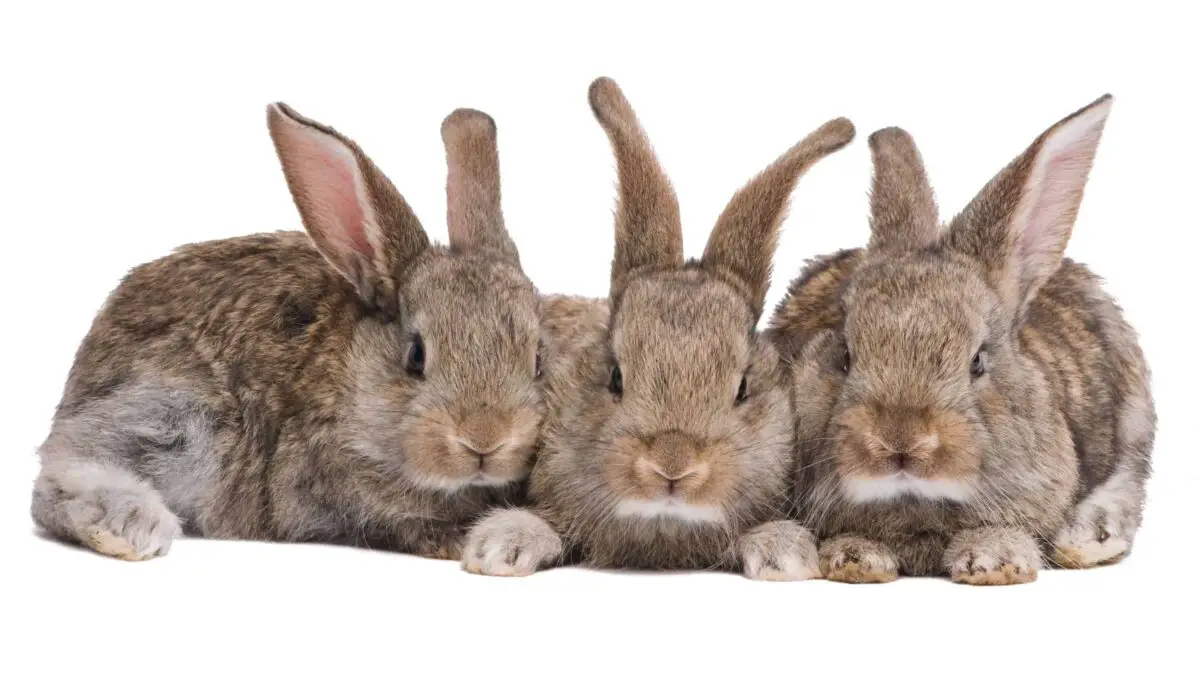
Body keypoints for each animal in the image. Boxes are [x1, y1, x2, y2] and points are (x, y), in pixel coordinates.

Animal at [768, 94, 1152, 583]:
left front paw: (994, 561)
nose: (900, 441)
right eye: (845, 356)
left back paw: (1089, 539)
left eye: (978, 362)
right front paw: (856, 559)